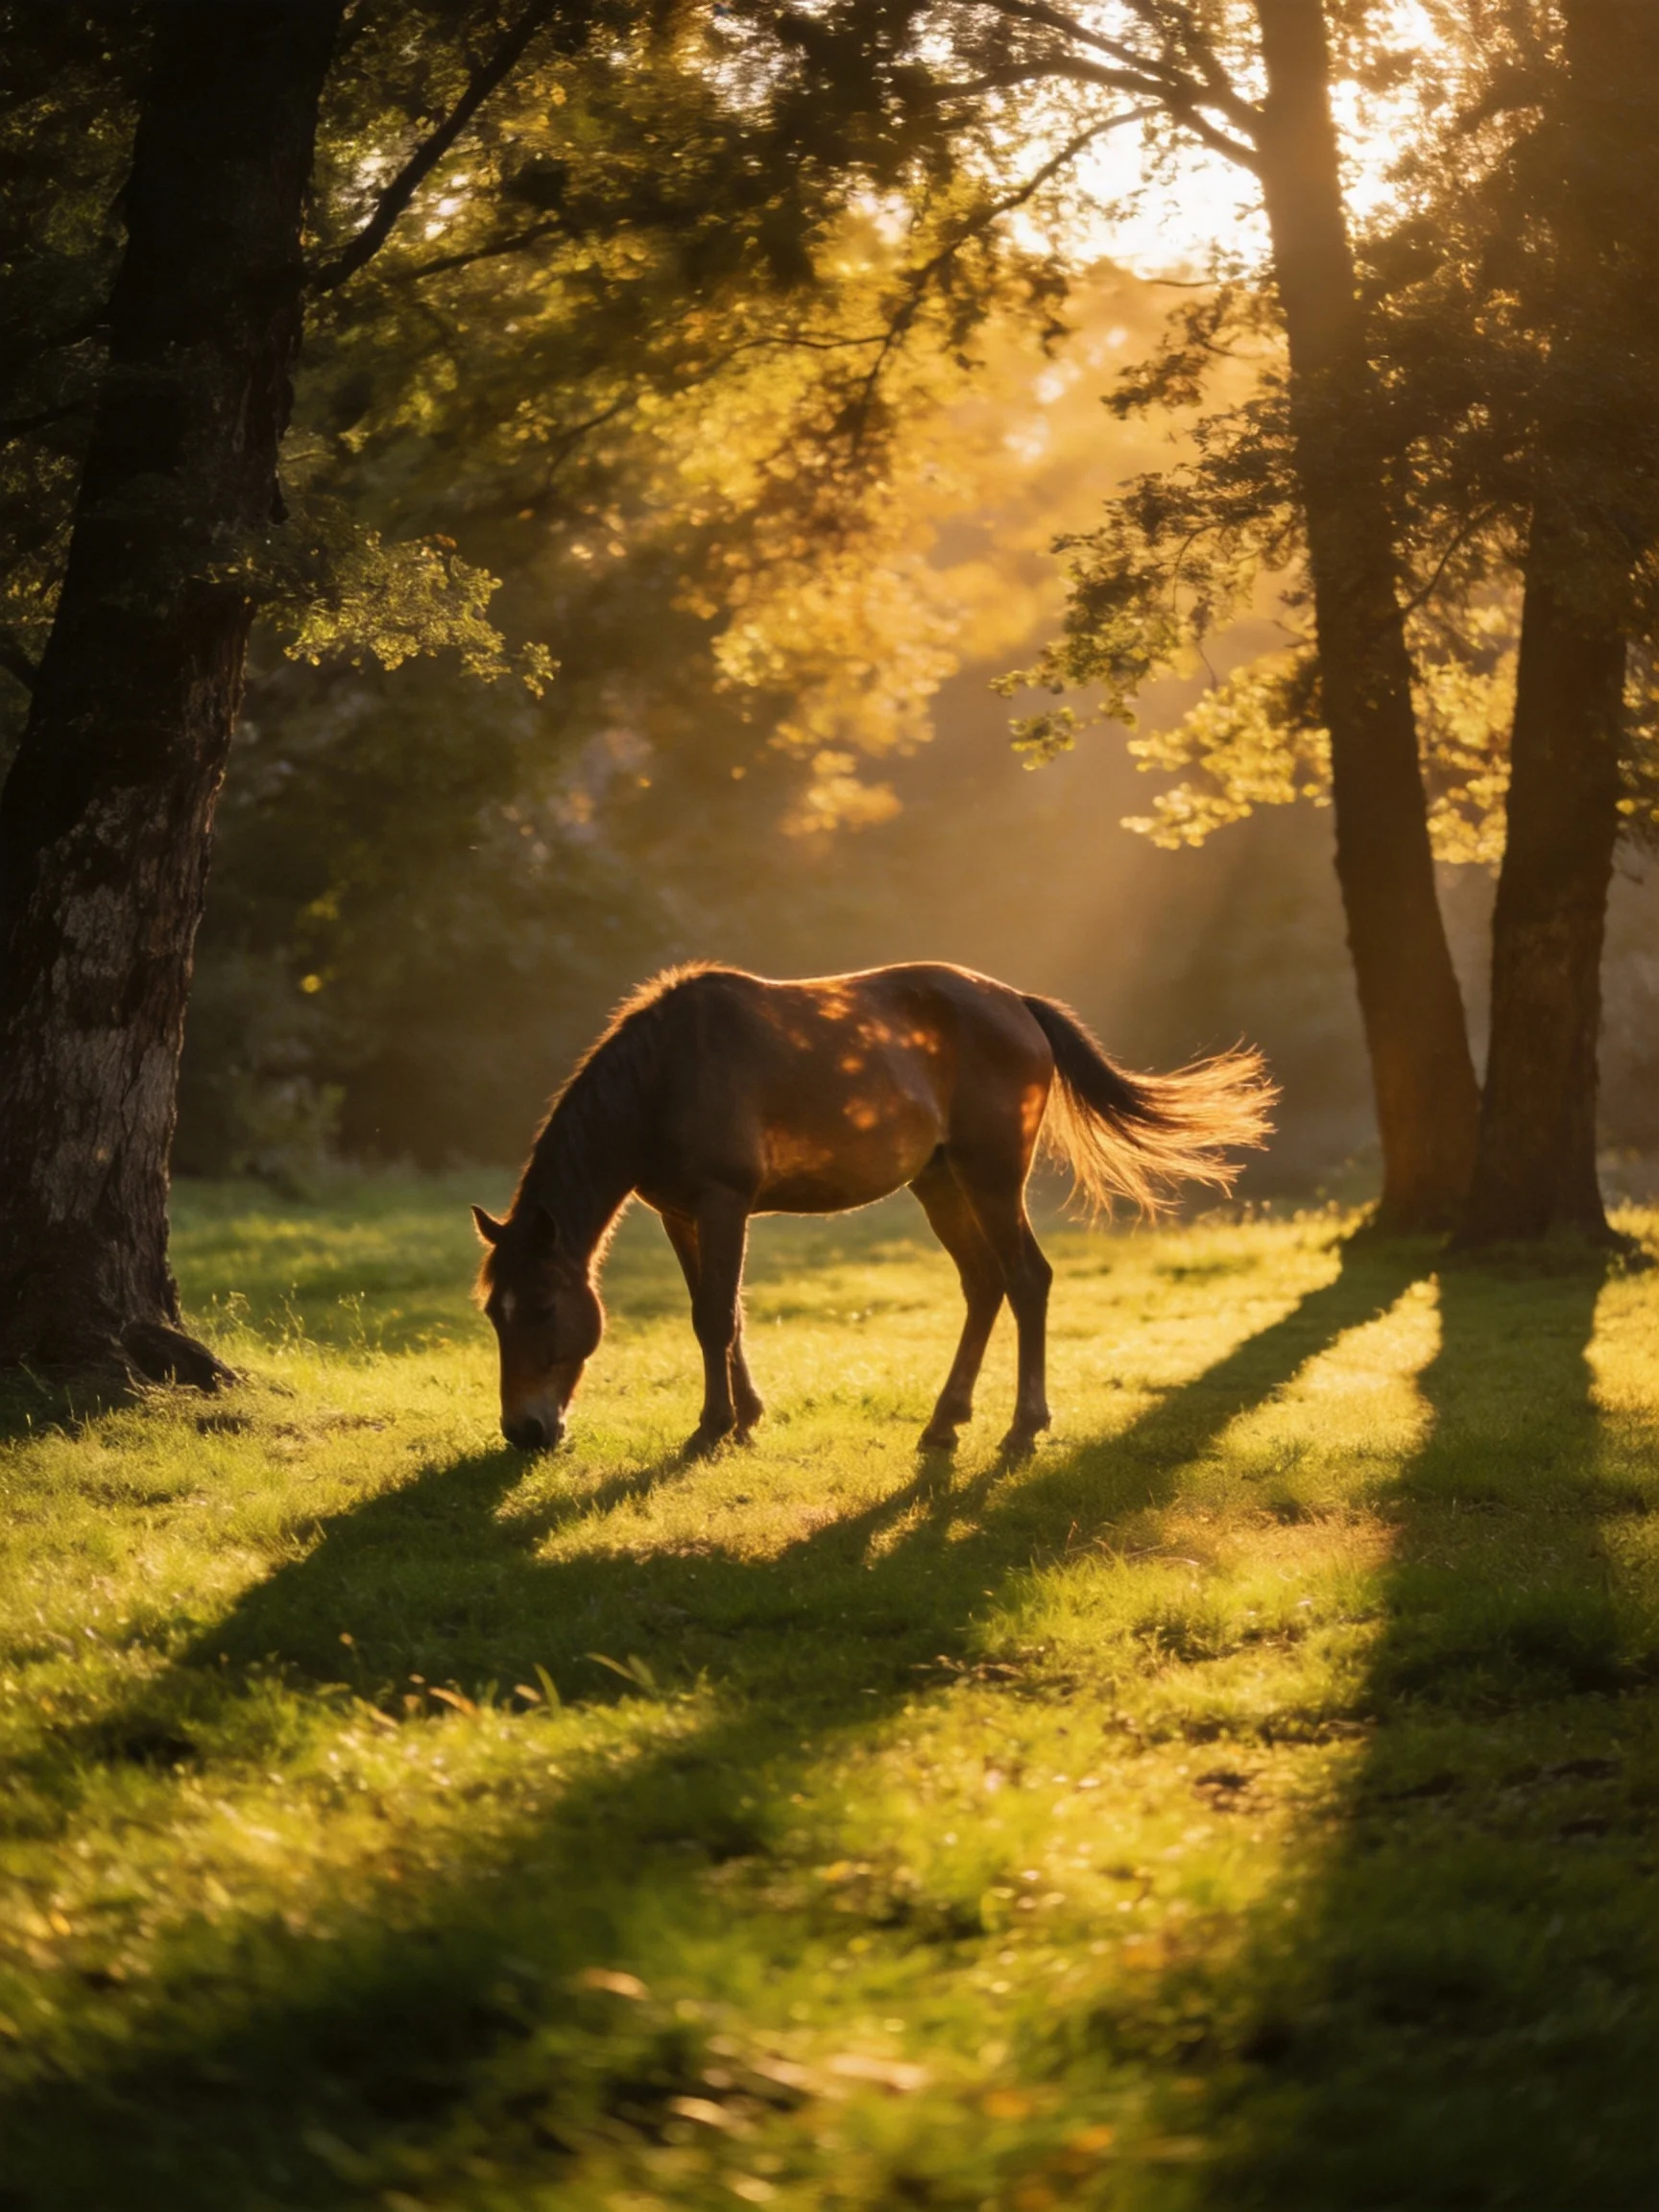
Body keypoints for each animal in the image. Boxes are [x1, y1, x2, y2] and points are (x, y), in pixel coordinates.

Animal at [472, 962, 1273, 1458]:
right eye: (493, 1314)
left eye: (543, 1308)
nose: (525, 1431)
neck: (666, 1071)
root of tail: (1016, 1004)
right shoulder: (683, 1215)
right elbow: (723, 1312)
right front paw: (747, 1418)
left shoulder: (723, 1204)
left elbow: (714, 1317)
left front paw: (713, 1429)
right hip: (940, 1184)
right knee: (984, 1284)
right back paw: (944, 1423)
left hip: (991, 1179)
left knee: (1026, 1280)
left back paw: (1023, 1427)